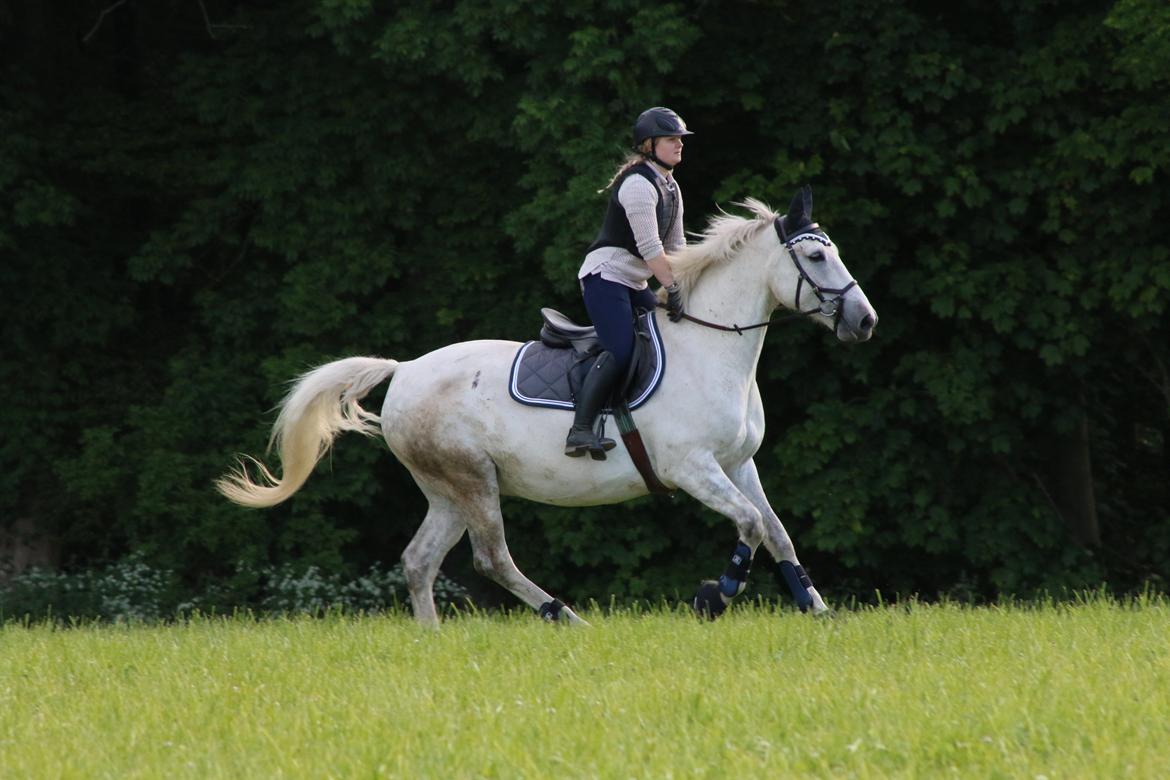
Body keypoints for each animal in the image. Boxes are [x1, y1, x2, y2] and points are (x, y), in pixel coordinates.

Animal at [221, 189, 879, 626]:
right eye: (815, 258)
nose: (865, 322)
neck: (712, 348)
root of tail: (404, 371)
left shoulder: (740, 463)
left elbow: (776, 531)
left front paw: (817, 609)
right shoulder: (692, 468)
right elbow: (749, 525)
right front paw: (712, 597)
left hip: (447, 490)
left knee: (419, 561)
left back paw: (434, 639)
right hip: (473, 479)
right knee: (492, 559)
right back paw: (567, 619)